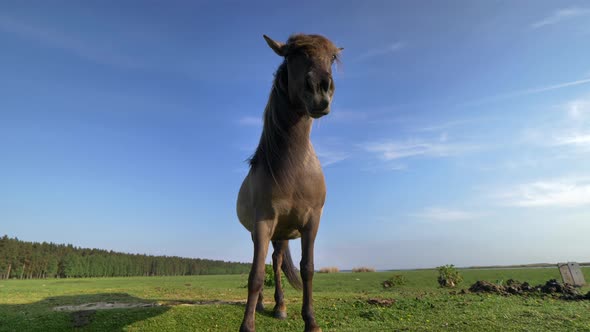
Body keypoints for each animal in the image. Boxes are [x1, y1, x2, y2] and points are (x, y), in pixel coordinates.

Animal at [238, 34, 344, 332]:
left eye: (332, 57)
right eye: (292, 56)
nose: (321, 90)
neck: (294, 170)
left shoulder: (312, 221)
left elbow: (307, 269)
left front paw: (311, 321)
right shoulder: (263, 223)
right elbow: (255, 274)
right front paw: (247, 325)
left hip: (282, 234)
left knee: (277, 261)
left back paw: (280, 307)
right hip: (268, 232)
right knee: (270, 264)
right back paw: (268, 306)